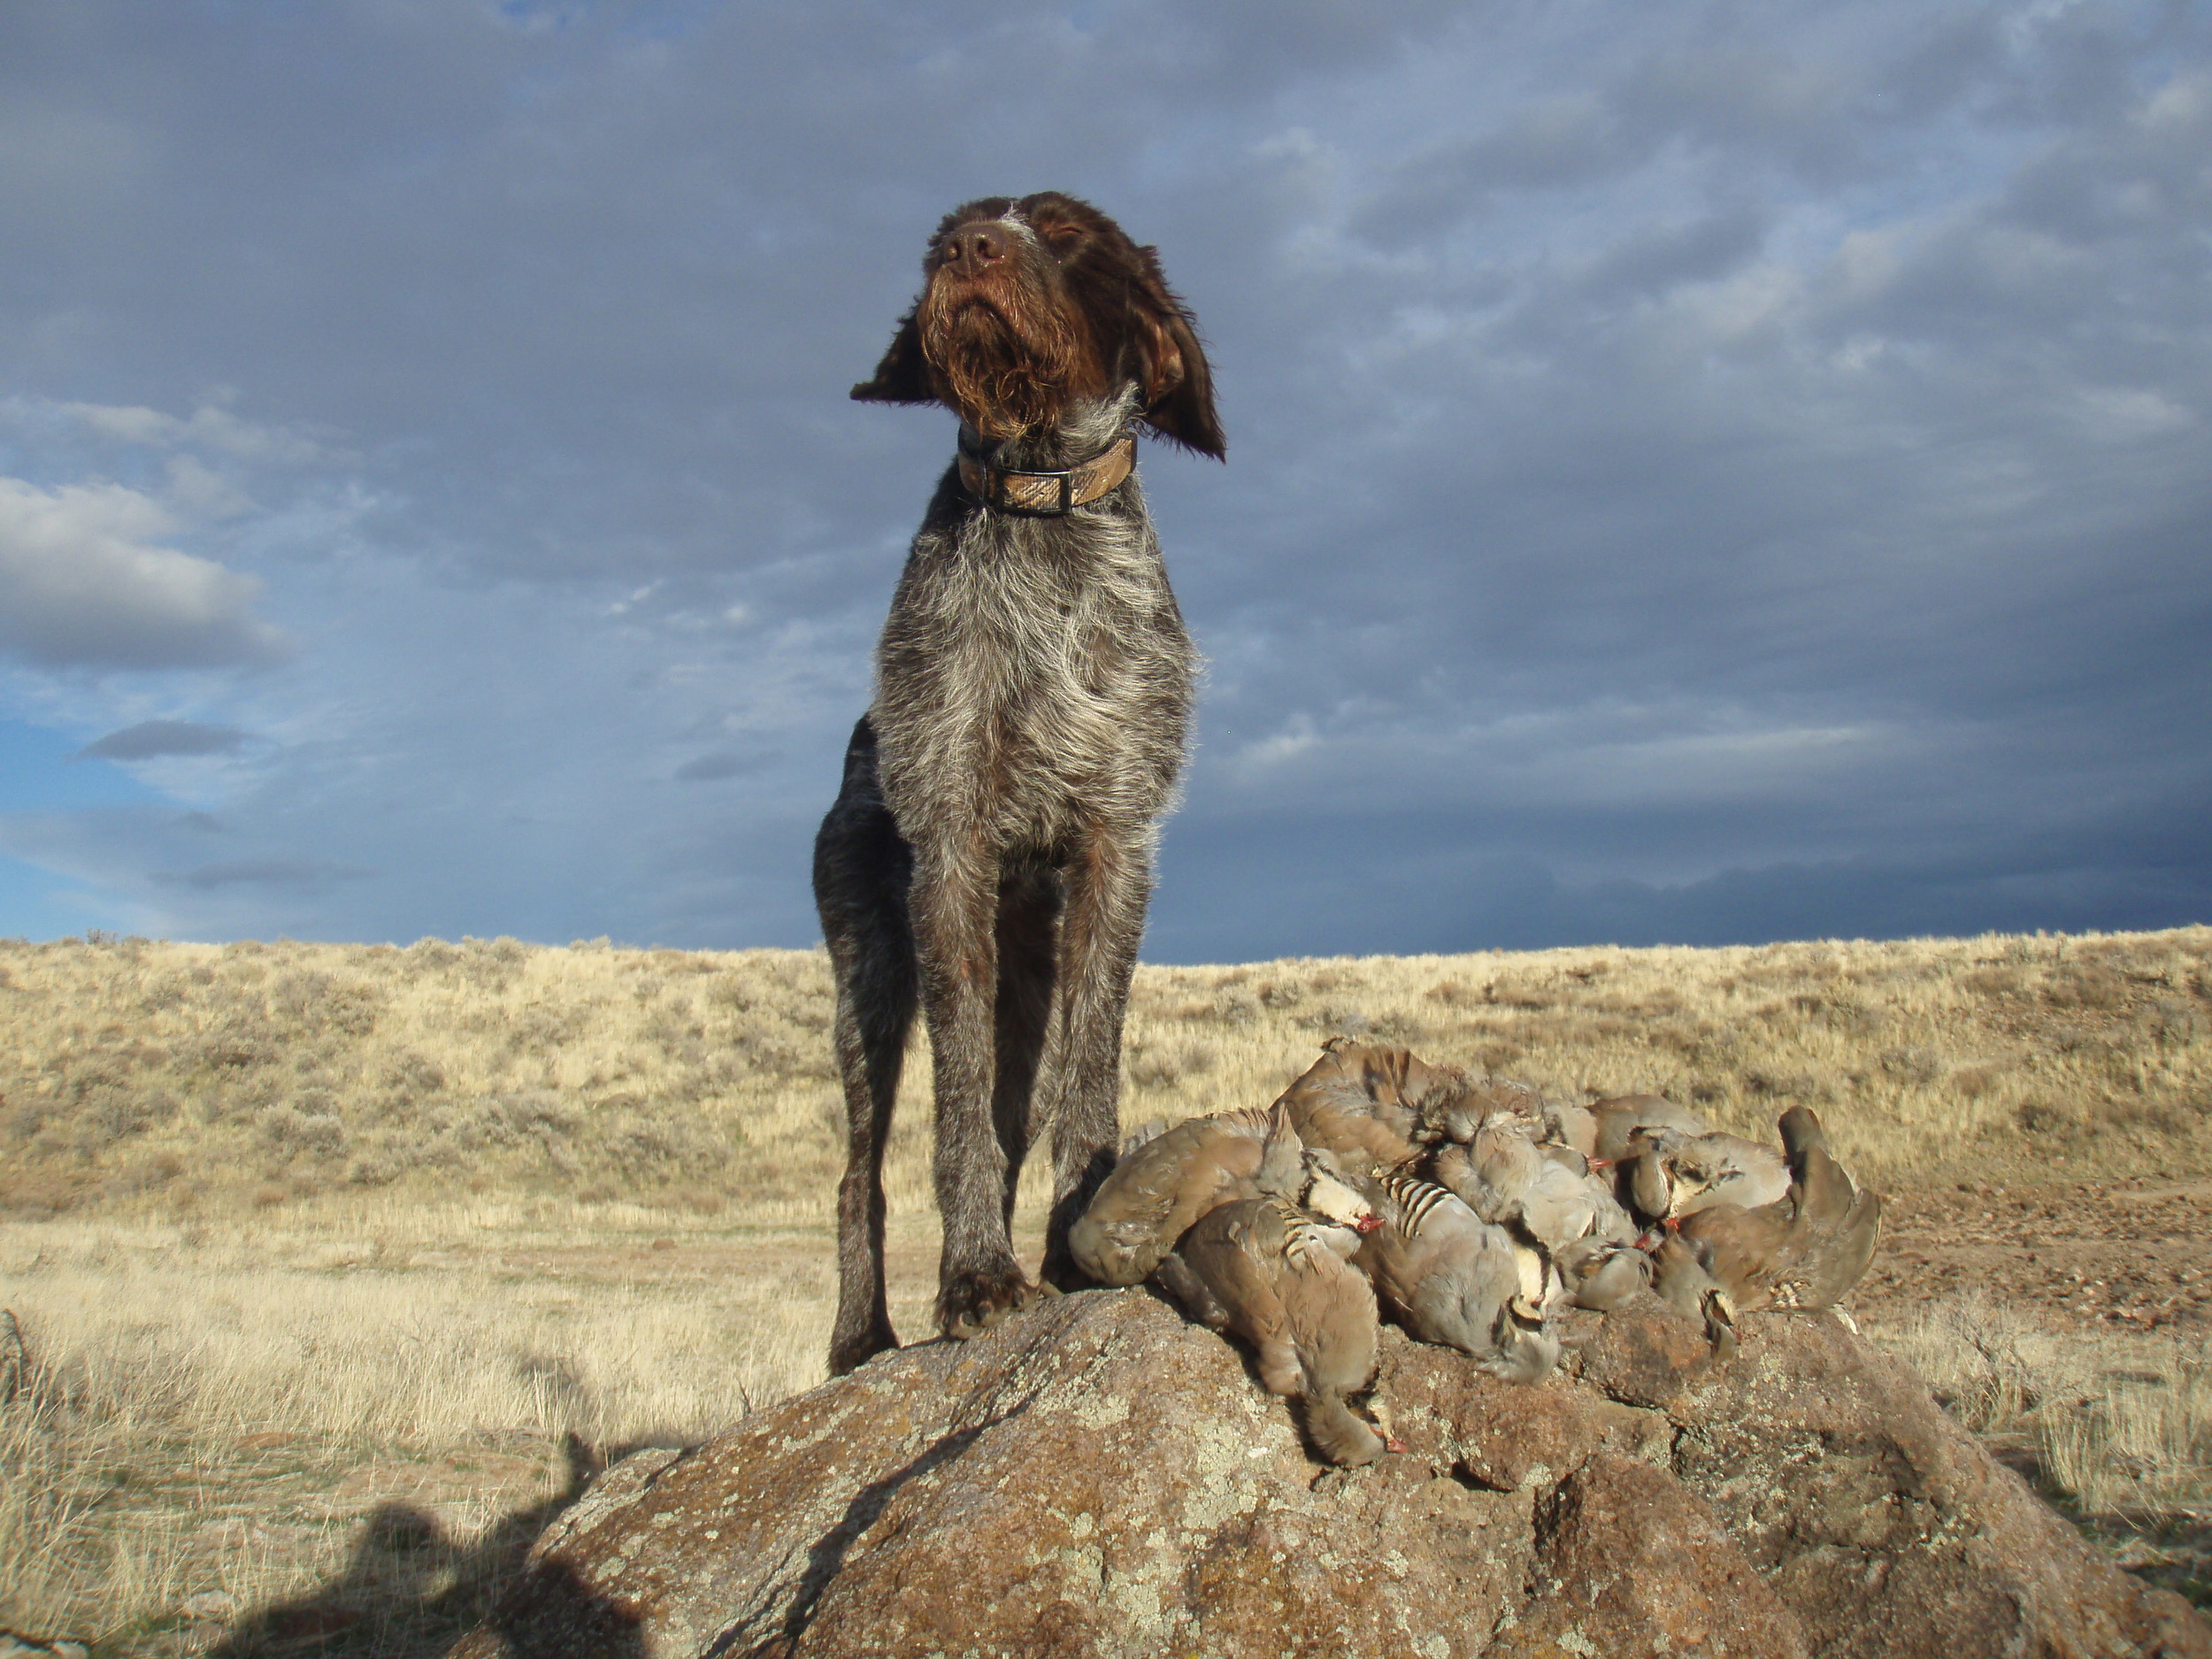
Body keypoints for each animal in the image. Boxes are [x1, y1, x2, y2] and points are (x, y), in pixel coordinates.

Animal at [818, 191, 1230, 1380]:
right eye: (944, 232)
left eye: (1068, 230)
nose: (972, 250)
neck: (1044, 501)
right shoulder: (950, 848)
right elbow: (955, 1113)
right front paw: (973, 1279)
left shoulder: (1114, 847)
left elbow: (1088, 1079)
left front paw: (1074, 1248)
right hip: (869, 979)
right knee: (858, 1175)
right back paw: (861, 1338)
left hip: (1026, 987)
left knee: (1020, 1105)